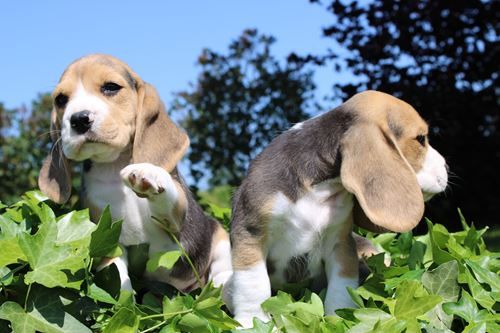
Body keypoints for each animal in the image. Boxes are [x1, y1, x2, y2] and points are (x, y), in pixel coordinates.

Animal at [38, 54, 232, 294]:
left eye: (111, 87)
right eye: (61, 99)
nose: (79, 119)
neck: (114, 166)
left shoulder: (176, 218)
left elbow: (169, 197)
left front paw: (147, 173)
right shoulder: (108, 239)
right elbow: (118, 278)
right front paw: (124, 300)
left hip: (219, 235)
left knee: (223, 272)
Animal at [224, 89, 450, 326]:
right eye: (421, 139)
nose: (446, 165)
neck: (317, 188)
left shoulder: (340, 243)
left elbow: (341, 287)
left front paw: (339, 320)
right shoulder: (251, 233)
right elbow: (253, 284)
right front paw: (252, 322)